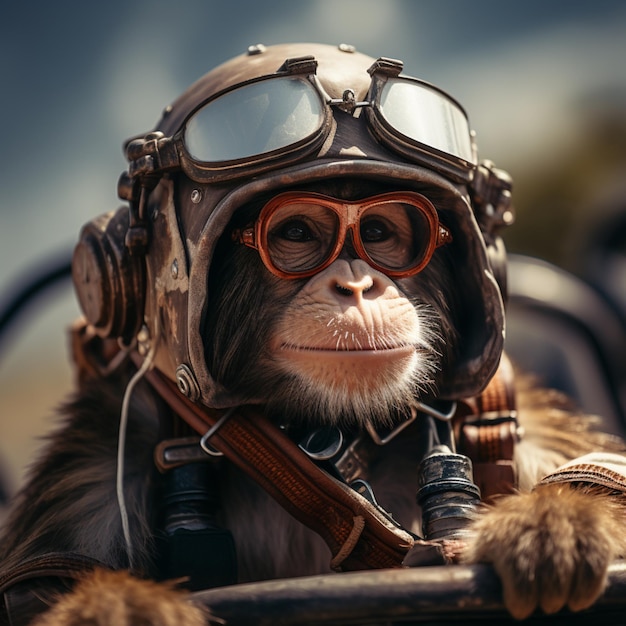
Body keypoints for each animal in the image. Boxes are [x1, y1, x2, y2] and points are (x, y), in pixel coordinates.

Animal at [1, 41, 624, 620]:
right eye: (297, 232)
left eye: (379, 231)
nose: (356, 284)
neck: (328, 434)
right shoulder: (96, 464)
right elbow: (43, 580)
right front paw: (115, 605)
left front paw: (552, 523)